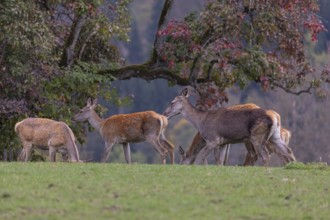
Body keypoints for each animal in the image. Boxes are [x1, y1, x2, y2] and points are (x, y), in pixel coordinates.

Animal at [164, 87, 296, 165]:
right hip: (274, 136)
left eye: (172, 102)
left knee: (265, 156)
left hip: (257, 136)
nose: (165, 113)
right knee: (288, 151)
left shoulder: (213, 139)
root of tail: (276, 117)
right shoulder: (223, 142)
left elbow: (204, 157)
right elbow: (221, 161)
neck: (201, 122)